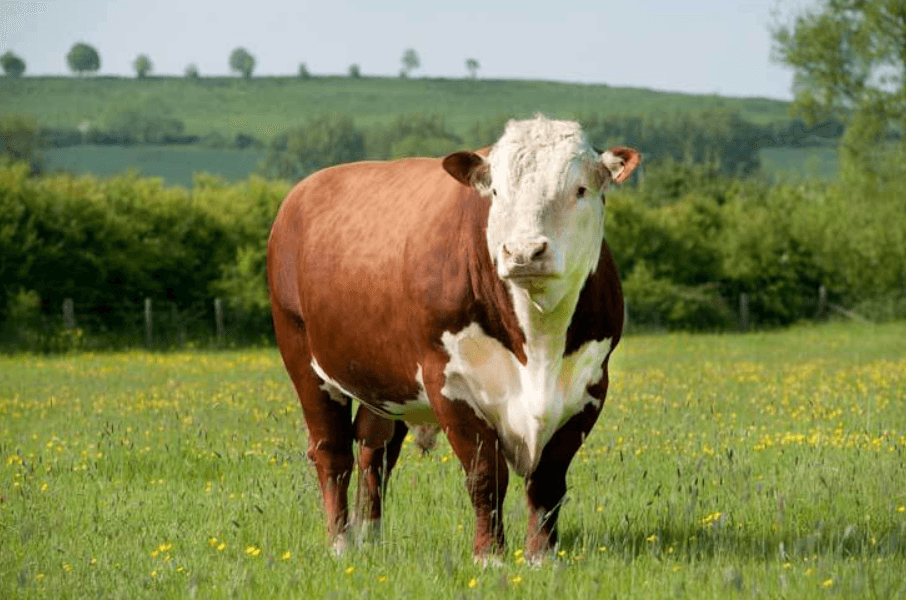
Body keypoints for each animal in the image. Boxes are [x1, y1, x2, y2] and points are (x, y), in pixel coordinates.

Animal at [267, 115, 640, 562]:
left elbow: (548, 479)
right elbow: (485, 474)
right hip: (302, 355)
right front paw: (490, 555)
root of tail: (302, 191)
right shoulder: (448, 382)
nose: (524, 252)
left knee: (375, 451)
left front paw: (540, 556)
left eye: (580, 189)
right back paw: (341, 542)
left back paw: (370, 536)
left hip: (386, 381)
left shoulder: (589, 386)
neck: (539, 343)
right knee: (332, 451)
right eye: (496, 192)